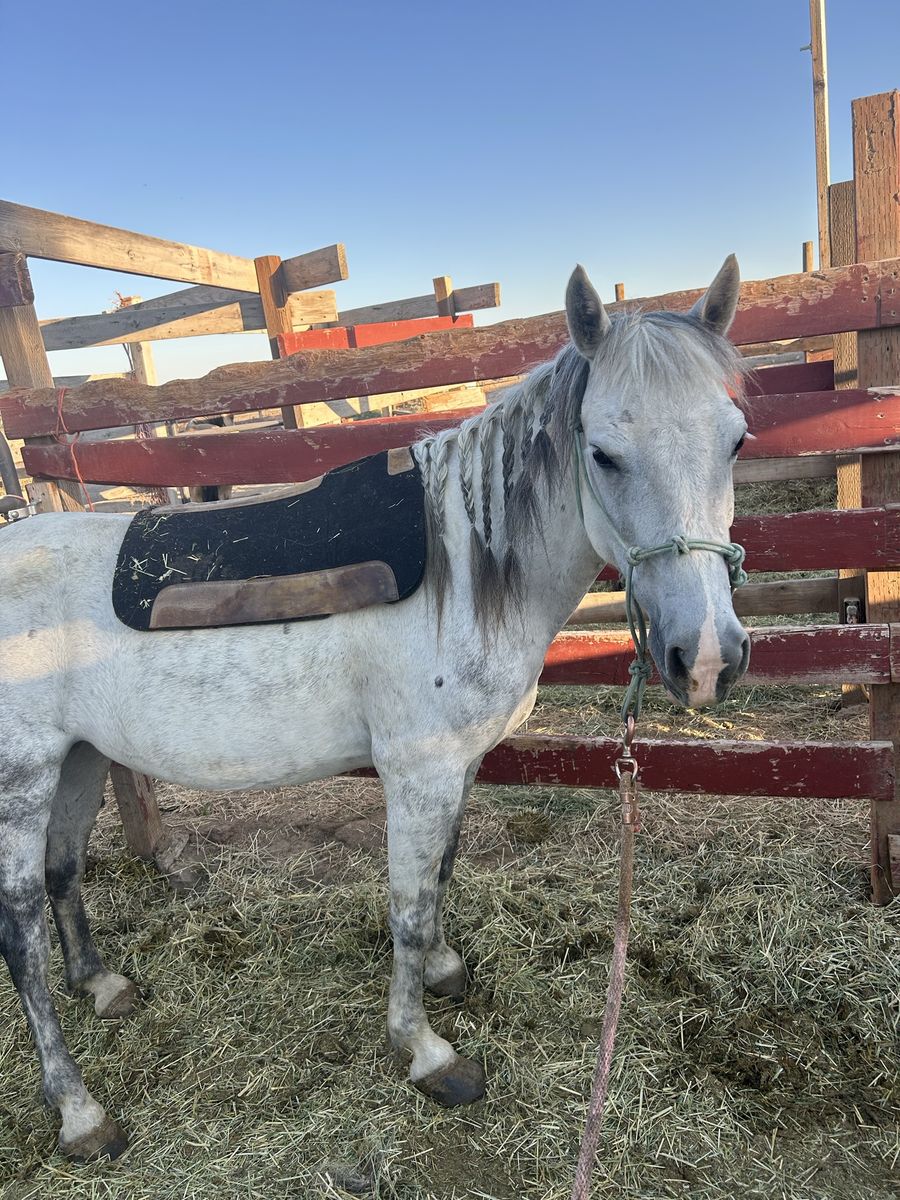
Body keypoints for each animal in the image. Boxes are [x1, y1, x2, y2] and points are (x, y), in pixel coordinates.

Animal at [0, 256, 751, 1160]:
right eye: (602, 454)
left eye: (737, 440)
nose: (706, 658)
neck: (466, 571)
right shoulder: (417, 771)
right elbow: (410, 906)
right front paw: (425, 1050)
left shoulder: (458, 764)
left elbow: (441, 877)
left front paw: (442, 973)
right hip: (22, 777)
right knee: (19, 933)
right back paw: (77, 1109)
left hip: (77, 756)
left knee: (63, 869)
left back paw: (101, 984)